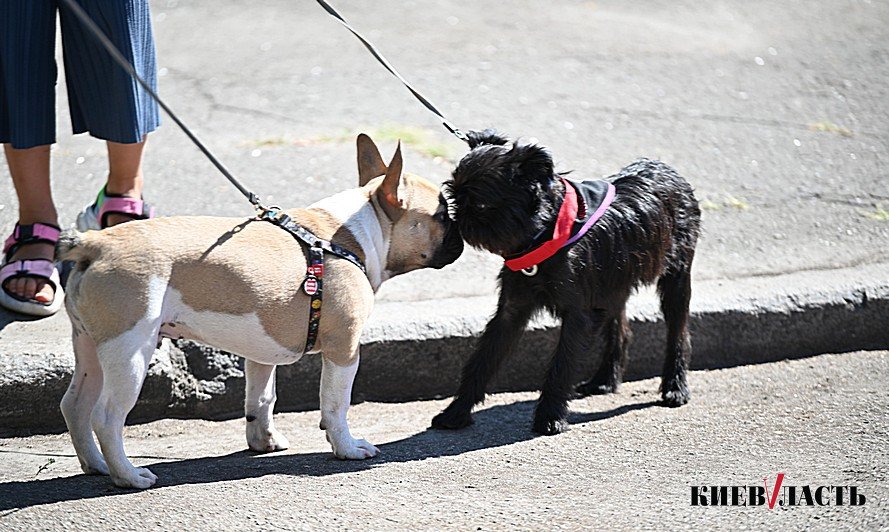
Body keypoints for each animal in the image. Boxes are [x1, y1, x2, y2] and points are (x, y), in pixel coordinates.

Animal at [57, 135, 464, 488]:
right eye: (442, 215)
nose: (461, 235)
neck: (355, 234)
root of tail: (95, 243)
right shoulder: (344, 350)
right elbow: (336, 405)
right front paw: (347, 448)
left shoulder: (262, 352)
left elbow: (262, 397)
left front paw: (262, 440)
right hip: (130, 350)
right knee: (107, 417)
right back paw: (128, 476)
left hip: (90, 346)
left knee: (75, 405)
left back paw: (96, 464)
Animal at [430, 131, 700, 434]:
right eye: (453, 197)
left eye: (479, 205)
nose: (455, 218)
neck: (542, 233)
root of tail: (669, 171)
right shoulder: (510, 311)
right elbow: (482, 361)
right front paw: (456, 412)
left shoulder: (578, 315)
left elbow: (562, 365)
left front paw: (550, 417)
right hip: (614, 286)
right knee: (621, 328)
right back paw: (604, 381)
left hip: (676, 277)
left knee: (678, 331)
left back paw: (675, 387)